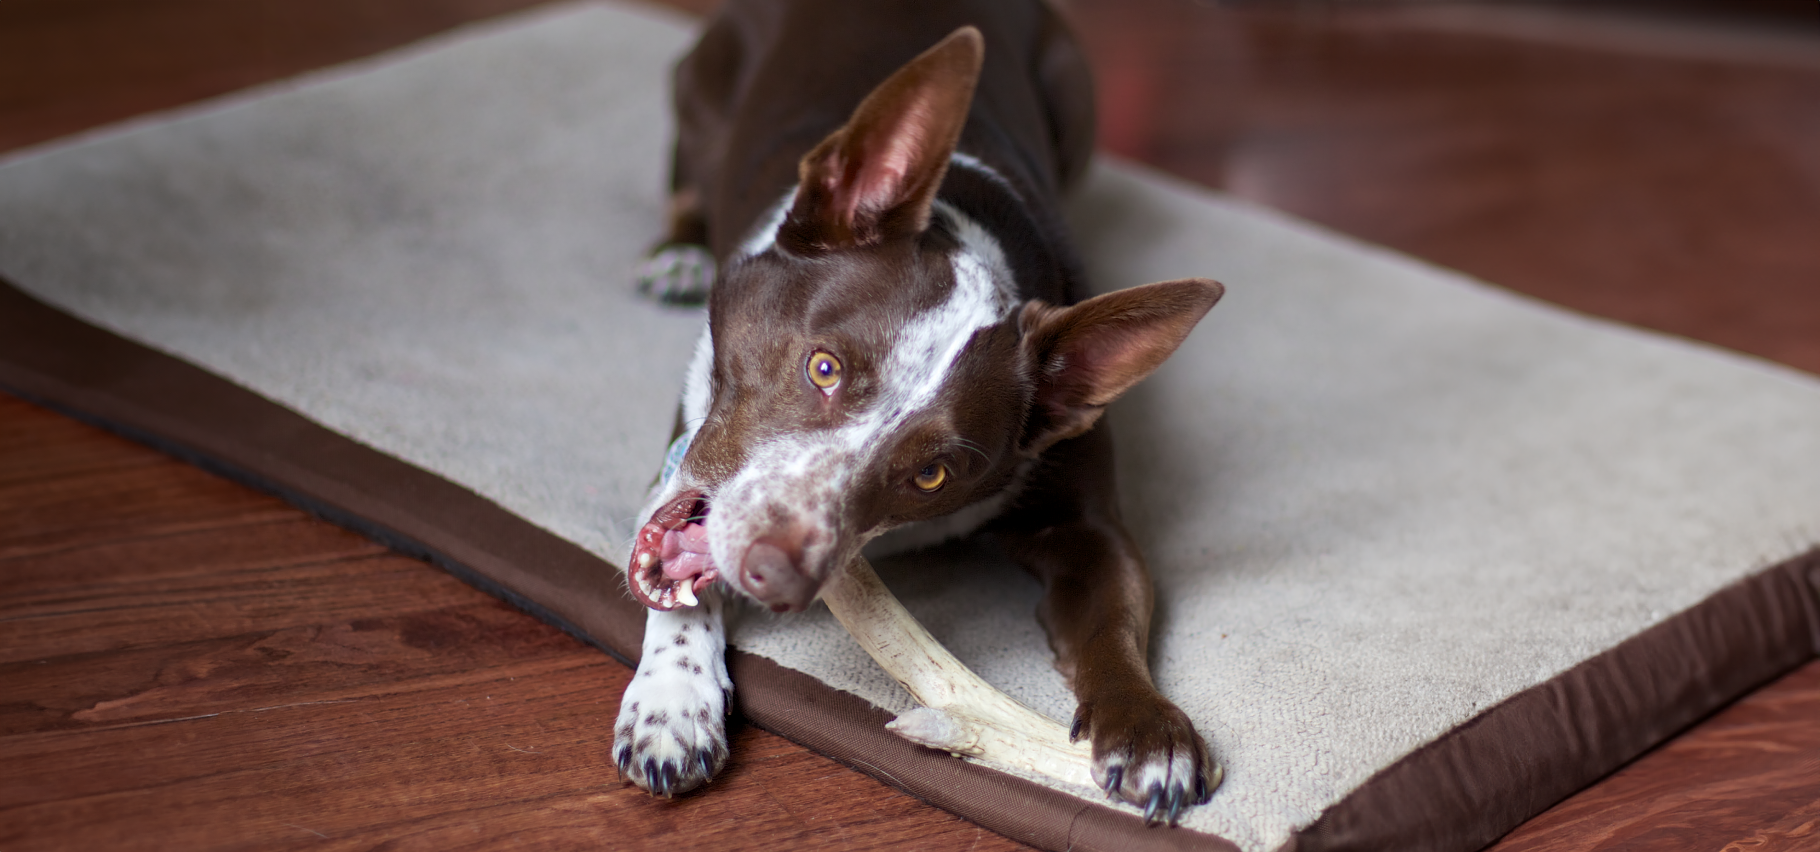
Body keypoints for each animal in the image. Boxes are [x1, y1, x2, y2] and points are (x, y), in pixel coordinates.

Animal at [611, 0, 1223, 826]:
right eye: (824, 367)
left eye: (933, 474)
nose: (775, 572)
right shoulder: (690, 451)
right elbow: (675, 579)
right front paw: (672, 704)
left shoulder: (1086, 524)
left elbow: (1115, 617)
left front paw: (1150, 729)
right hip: (701, 97)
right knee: (686, 185)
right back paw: (677, 253)